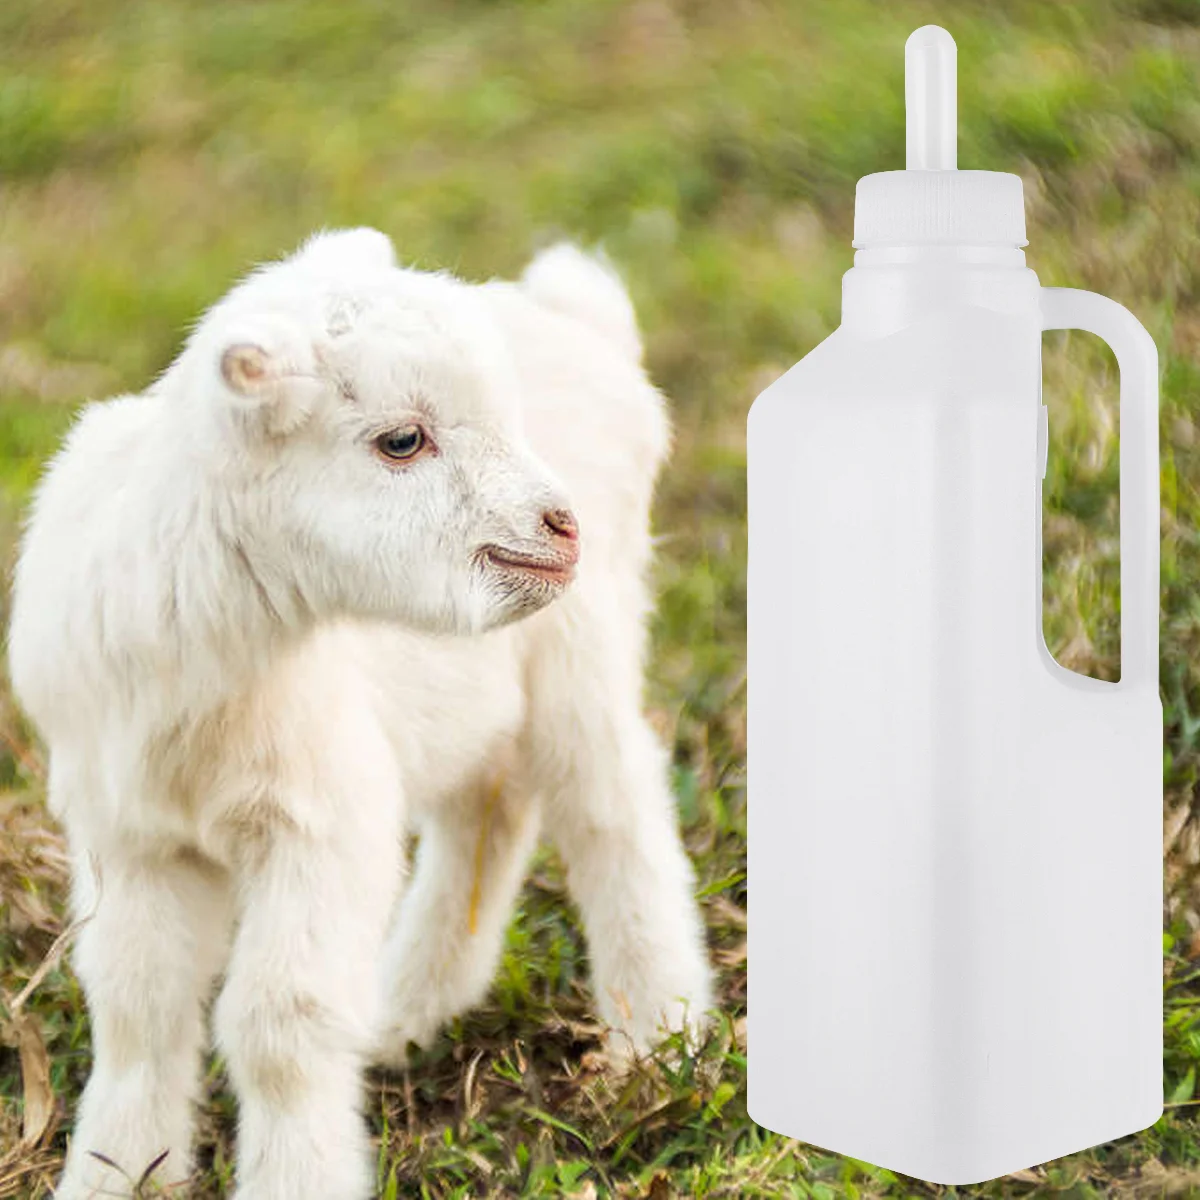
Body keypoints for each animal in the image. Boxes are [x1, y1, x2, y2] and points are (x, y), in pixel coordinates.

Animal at [7, 229, 713, 1200]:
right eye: (402, 440)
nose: (559, 524)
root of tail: (580, 320)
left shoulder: (321, 817)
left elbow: (279, 1024)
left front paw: (294, 1178)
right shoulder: (128, 834)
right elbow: (137, 1009)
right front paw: (118, 1172)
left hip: (582, 643)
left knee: (613, 811)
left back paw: (655, 1033)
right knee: (490, 809)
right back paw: (405, 1012)